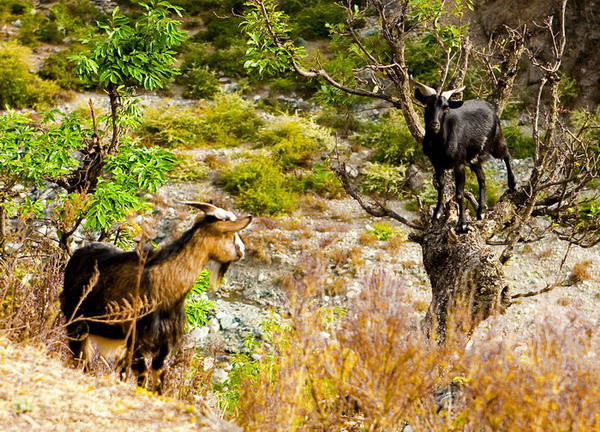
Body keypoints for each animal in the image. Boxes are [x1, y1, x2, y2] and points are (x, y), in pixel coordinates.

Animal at [63, 202, 253, 392]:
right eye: (229, 233)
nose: (242, 252)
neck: (165, 285)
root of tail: (79, 253)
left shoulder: (164, 342)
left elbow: (158, 377)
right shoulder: (136, 338)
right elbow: (143, 376)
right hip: (77, 323)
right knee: (81, 359)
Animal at [412, 79, 516, 231]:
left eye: (446, 108)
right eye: (427, 105)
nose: (434, 125)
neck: (440, 144)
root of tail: (490, 106)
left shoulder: (459, 164)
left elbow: (460, 193)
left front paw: (462, 223)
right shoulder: (437, 163)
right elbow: (441, 185)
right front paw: (437, 213)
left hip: (496, 140)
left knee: (506, 154)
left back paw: (512, 185)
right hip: (474, 158)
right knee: (482, 178)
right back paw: (481, 212)